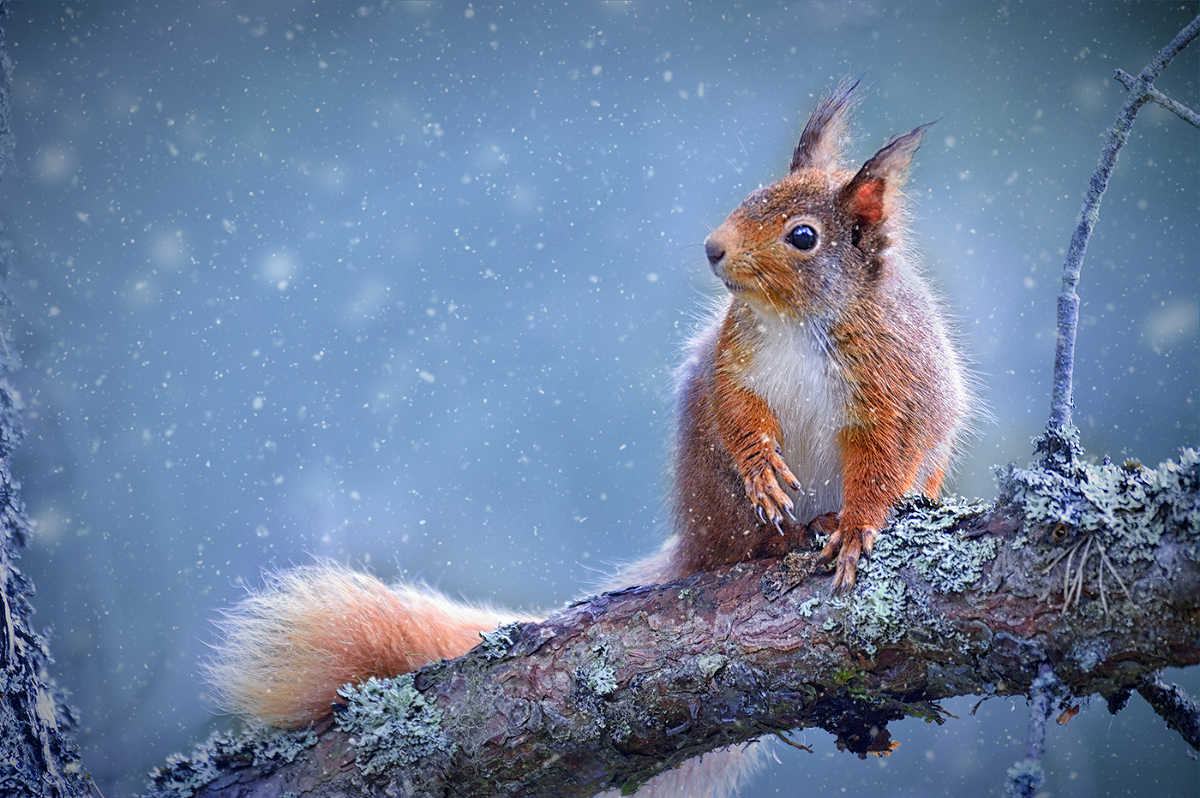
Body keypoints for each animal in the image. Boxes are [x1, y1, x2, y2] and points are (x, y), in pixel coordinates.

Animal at [206, 82, 964, 748]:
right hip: (711, 481)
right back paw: (778, 535)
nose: (713, 248)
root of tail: (696, 542)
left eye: (802, 236)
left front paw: (859, 529)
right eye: (749, 197)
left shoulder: (891, 382)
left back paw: (826, 521)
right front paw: (761, 468)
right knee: (736, 540)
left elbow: (884, 455)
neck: (794, 321)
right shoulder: (731, 363)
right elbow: (738, 414)